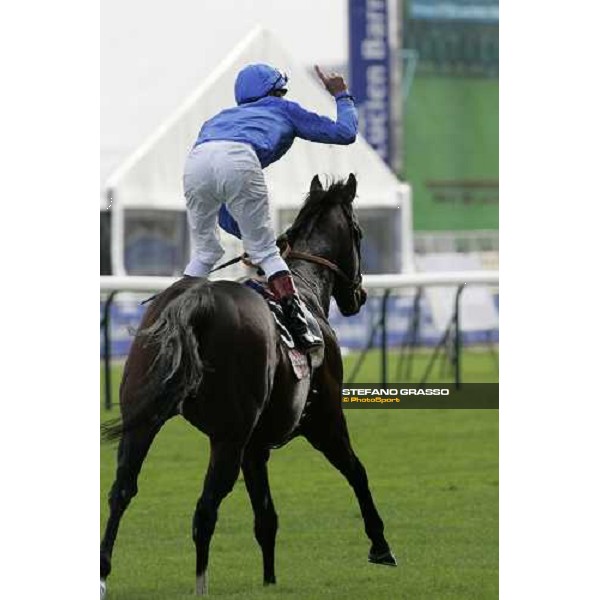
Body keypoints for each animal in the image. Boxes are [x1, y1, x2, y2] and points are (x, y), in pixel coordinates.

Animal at [100, 173, 396, 596]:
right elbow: (357, 471)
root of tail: (196, 301)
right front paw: (380, 545)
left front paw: (269, 579)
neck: (305, 289)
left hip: (144, 419)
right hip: (228, 435)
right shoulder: (325, 421)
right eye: (359, 232)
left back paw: (103, 572)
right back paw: (200, 585)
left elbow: (266, 517)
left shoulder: (255, 448)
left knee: (122, 489)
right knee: (205, 508)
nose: (360, 295)